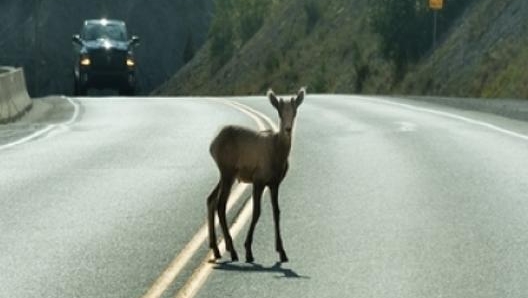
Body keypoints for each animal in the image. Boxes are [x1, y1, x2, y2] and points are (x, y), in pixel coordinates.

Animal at [206, 86, 306, 264]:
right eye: (280, 112)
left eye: (295, 111)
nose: (287, 129)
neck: (277, 154)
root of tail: (213, 145)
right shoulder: (258, 181)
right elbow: (256, 212)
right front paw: (248, 251)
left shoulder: (274, 183)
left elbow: (276, 212)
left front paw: (282, 252)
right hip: (227, 173)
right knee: (220, 205)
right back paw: (232, 251)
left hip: (225, 175)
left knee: (211, 199)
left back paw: (216, 250)